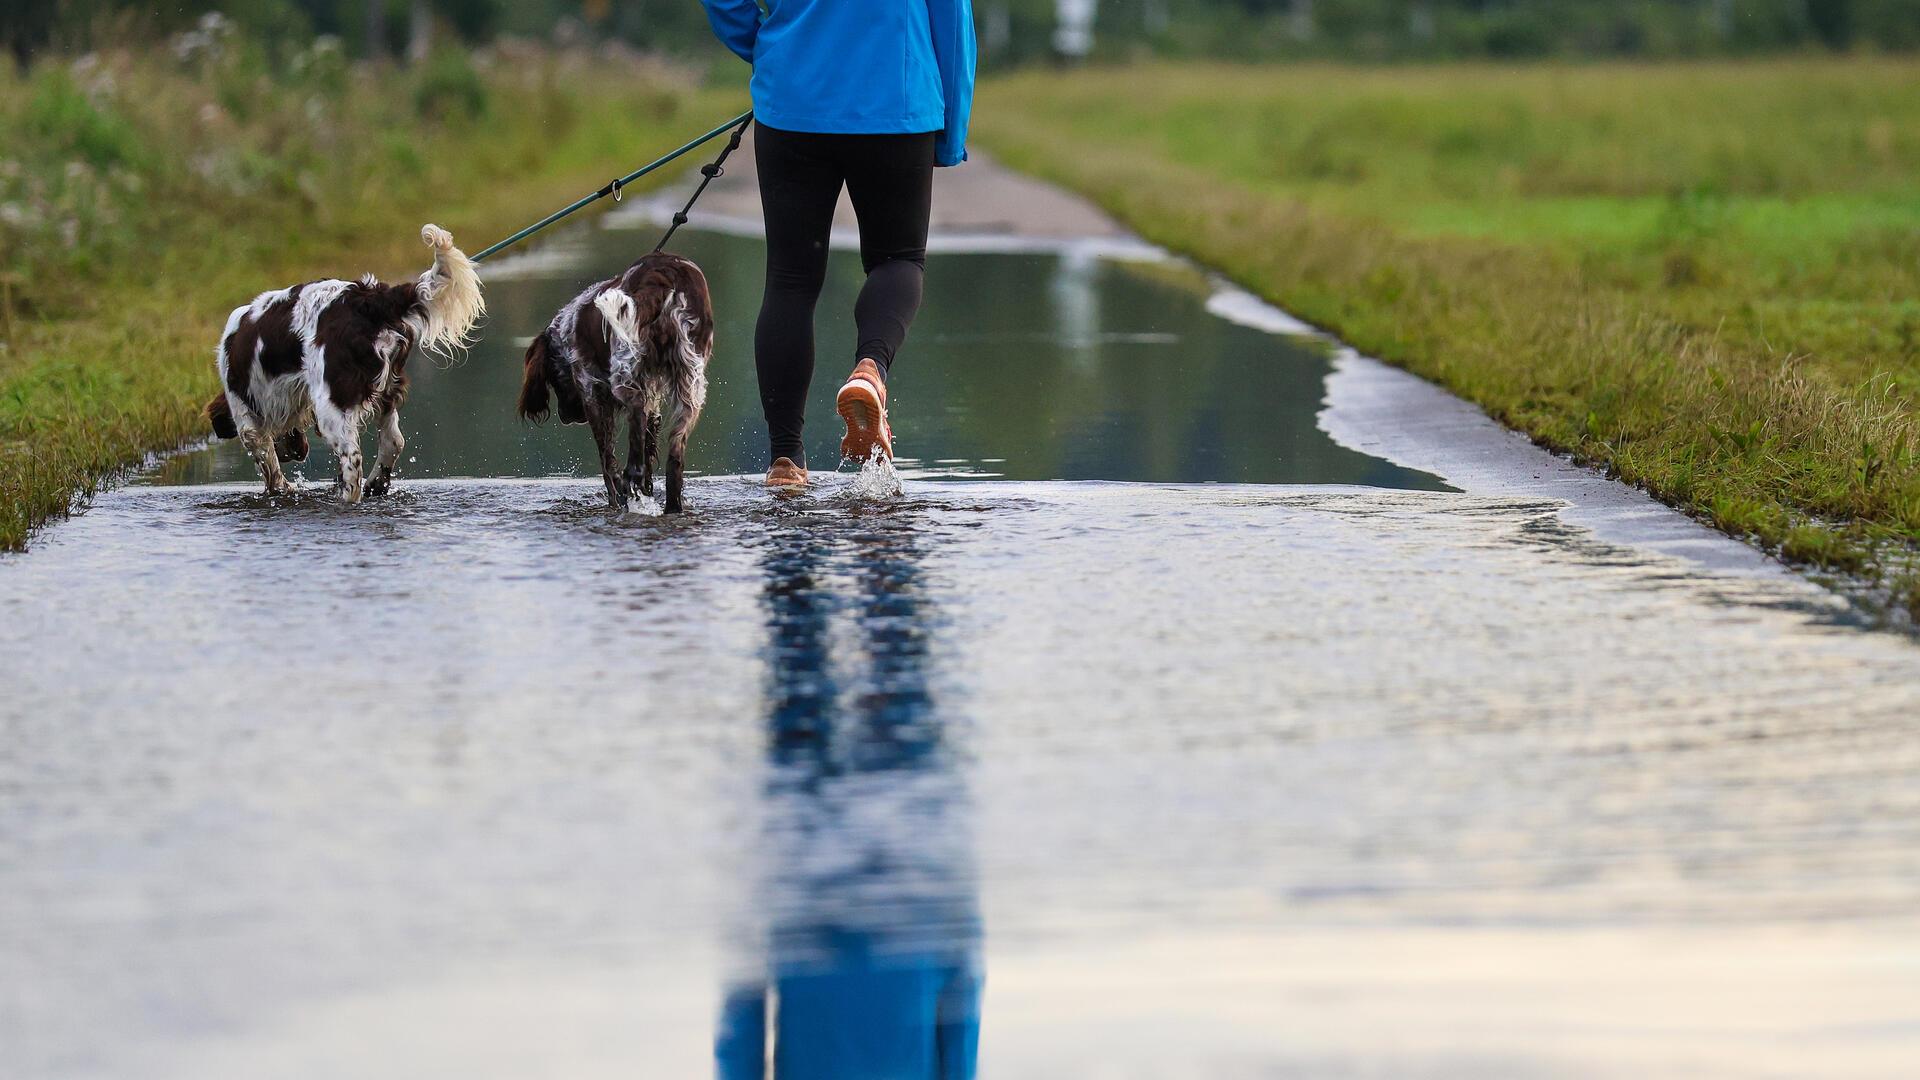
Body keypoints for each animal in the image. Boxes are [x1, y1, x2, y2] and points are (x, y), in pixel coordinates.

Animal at [201, 225, 483, 499]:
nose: (297, 454)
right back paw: (376, 485)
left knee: (353, 460)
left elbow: (269, 466)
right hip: (387, 391)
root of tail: (370, 299)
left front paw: (280, 490)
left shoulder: (247, 420)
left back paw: (347, 498)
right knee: (394, 442)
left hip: (333, 404)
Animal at [518, 249, 714, 511]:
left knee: (636, 415)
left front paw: (617, 499)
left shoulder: (591, 393)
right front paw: (645, 492)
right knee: (674, 458)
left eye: (553, 380)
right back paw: (670, 504)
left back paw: (631, 477)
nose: (566, 416)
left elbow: (607, 461)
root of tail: (663, 272)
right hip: (691, 385)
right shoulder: (654, 397)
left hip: (622, 373)